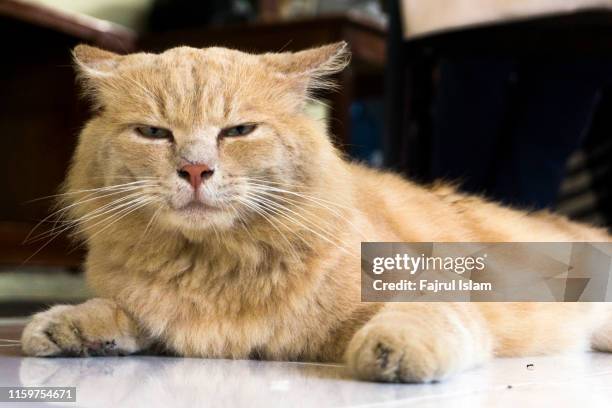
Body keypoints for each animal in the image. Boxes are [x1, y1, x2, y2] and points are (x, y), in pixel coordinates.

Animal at [21, 42, 612, 382]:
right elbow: (118, 310)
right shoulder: (159, 317)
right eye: (153, 132)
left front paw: (395, 348)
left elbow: (420, 315)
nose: (194, 169)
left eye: (238, 130)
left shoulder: (427, 288)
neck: (214, 264)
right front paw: (67, 325)